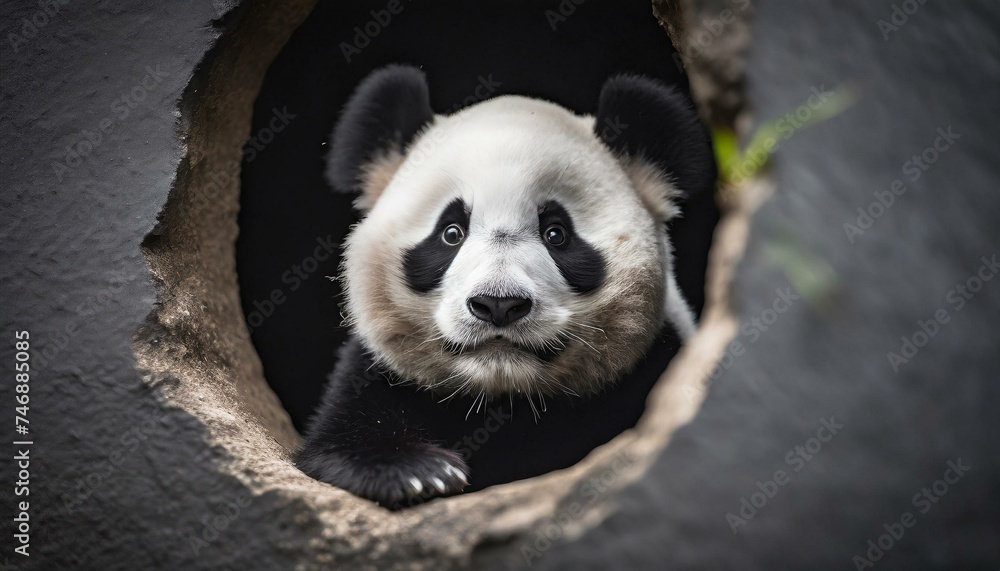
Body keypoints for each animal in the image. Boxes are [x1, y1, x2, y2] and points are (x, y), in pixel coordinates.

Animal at [296, 64, 716, 509]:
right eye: (451, 233)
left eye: (556, 233)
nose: (498, 304)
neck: (503, 397)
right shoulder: (374, 374)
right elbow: (340, 441)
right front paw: (419, 473)